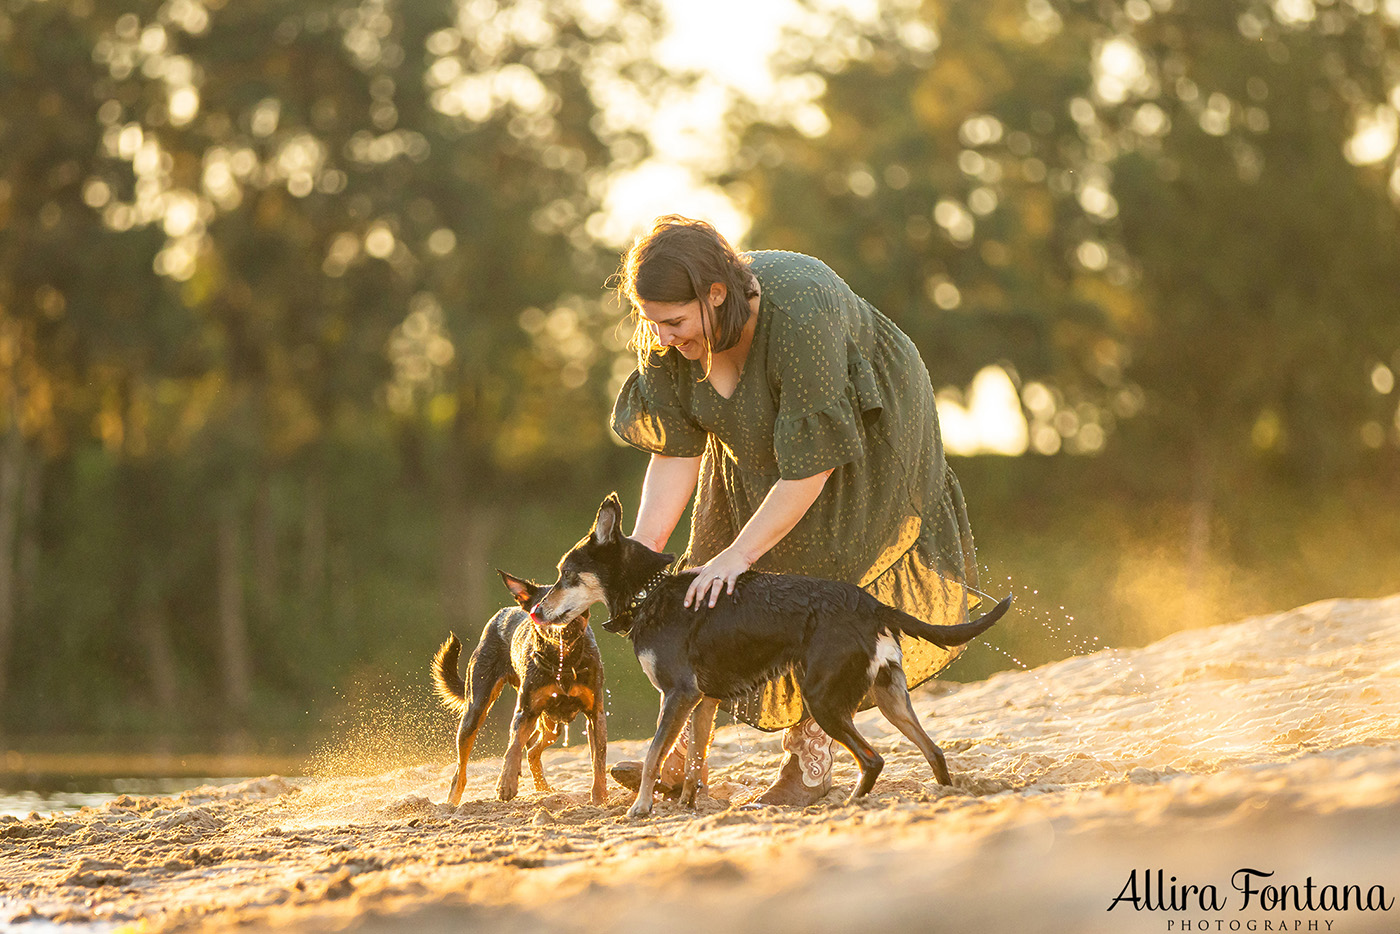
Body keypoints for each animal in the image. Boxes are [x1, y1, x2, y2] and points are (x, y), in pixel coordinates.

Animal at [526, 495, 1008, 817]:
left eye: (566, 576)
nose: (535, 611)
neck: (651, 592)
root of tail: (871, 605)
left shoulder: (677, 694)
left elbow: (652, 756)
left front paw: (641, 807)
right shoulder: (702, 701)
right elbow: (695, 757)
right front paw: (687, 802)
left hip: (825, 699)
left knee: (873, 759)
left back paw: (852, 804)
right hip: (892, 698)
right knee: (934, 752)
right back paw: (944, 797)